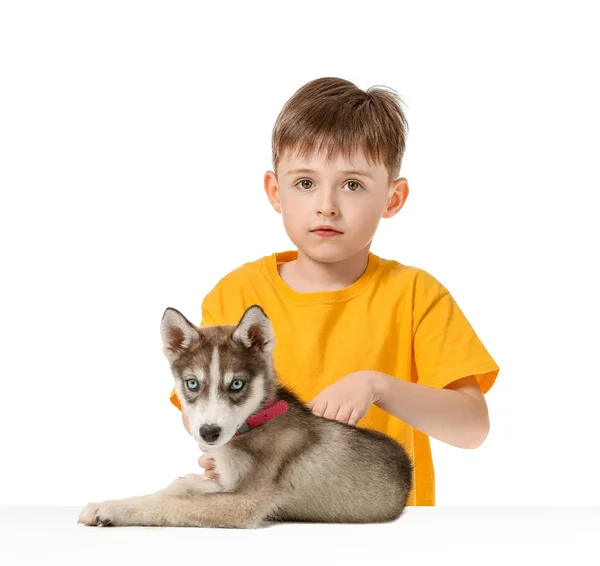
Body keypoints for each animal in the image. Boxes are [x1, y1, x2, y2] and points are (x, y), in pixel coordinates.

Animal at [78, 304, 412, 532]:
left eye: (236, 384)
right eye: (192, 384)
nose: (209, 433)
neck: (255, 421)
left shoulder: (245, 502)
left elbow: (172, 504)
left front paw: (108, 508)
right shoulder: (227, 484)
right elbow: (178, 488)